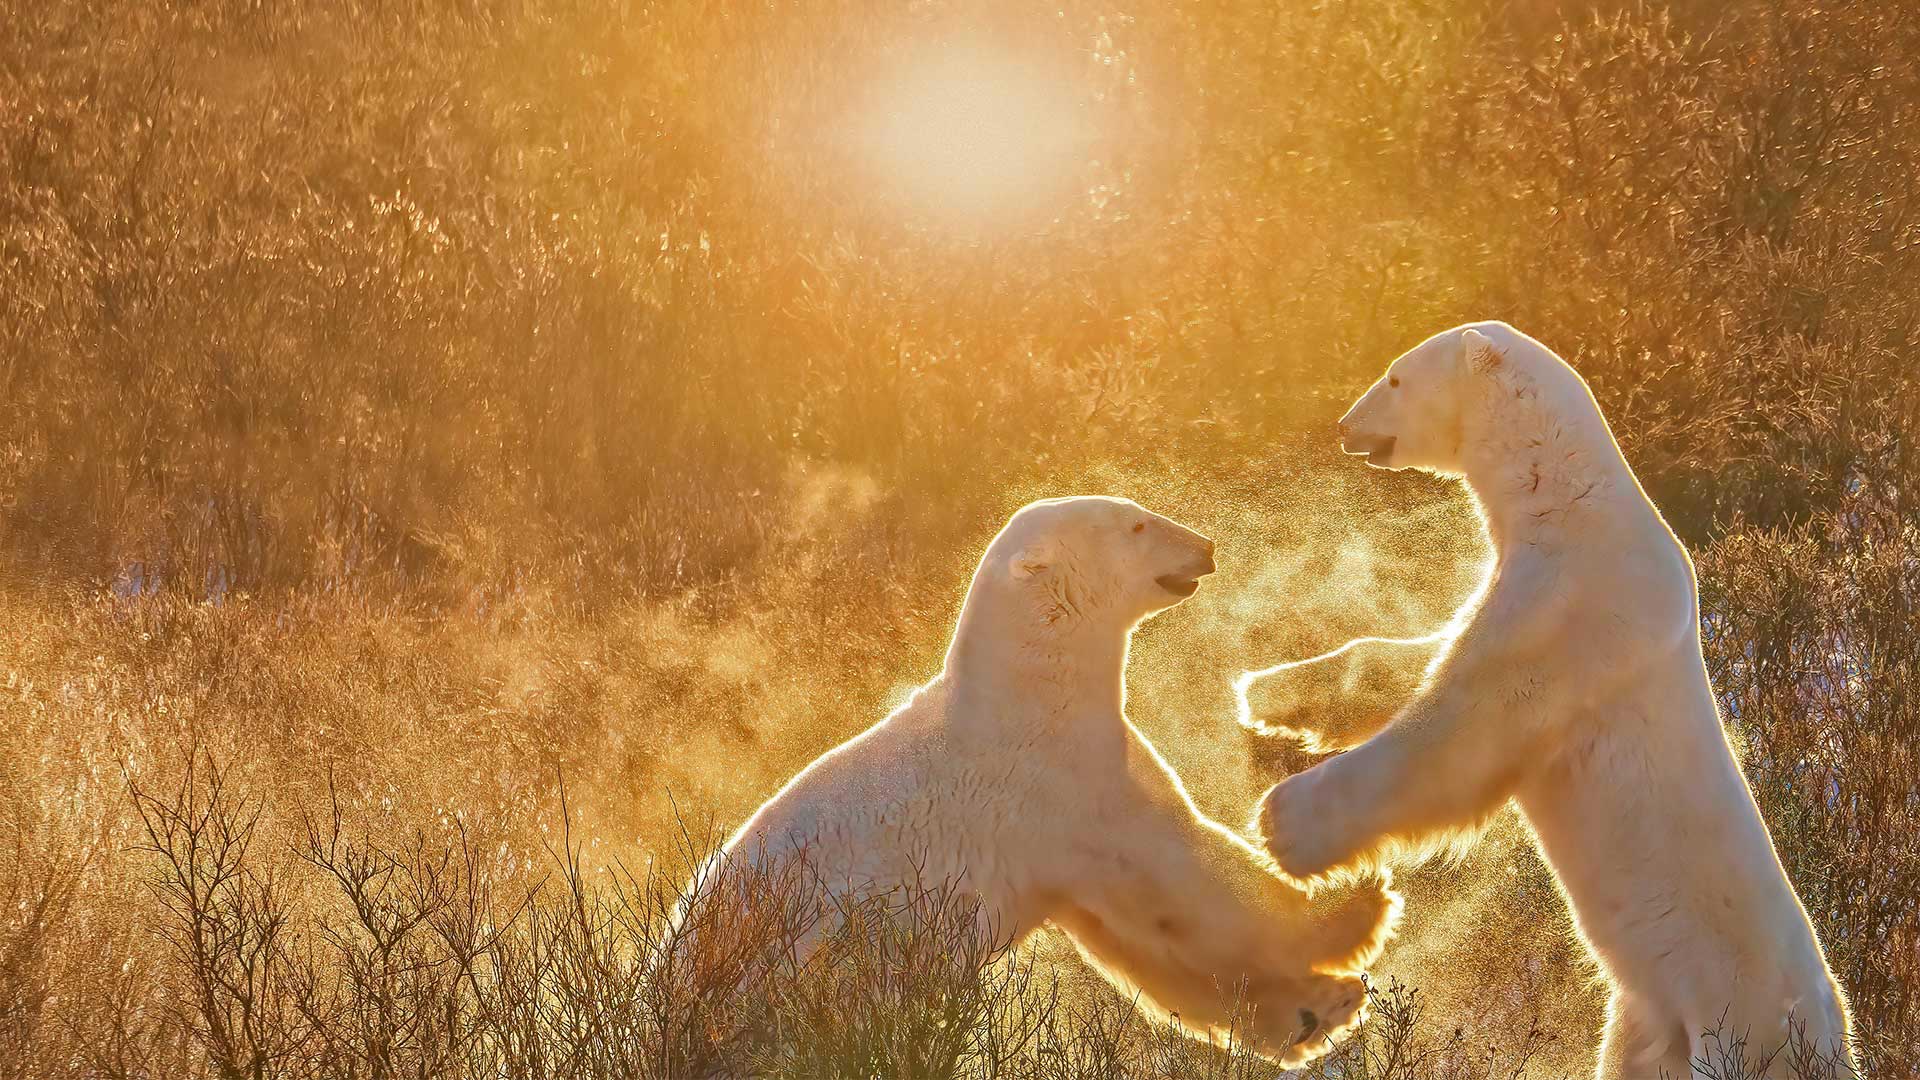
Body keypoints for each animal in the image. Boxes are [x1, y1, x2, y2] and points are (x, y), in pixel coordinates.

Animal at [709, 496, 1399, 1065]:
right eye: (1136, 524)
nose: (1206, 545)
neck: (1030, 691)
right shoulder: (1064, 784)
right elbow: (1186, 877)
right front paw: (1357, 904)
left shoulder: (1063, 844)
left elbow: (1141, 940)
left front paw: (1319, 1009)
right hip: (816, 965)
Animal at [1245, 323, 1854, 1078]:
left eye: (1394, 377)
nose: (1344, 426)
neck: (1571, 501)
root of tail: (1829, 1032)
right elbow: (1419, 659)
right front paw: (1269, 691)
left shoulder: (1566, 613)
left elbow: (1458, 733)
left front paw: (1280, 824)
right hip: (1650, 1018)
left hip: (1738, 1019)